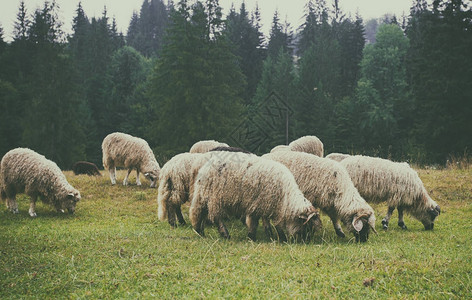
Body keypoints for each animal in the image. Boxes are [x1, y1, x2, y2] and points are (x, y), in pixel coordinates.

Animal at [188, 152, 320, 241]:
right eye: (308, 225)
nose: (307, 240)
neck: (285, 196)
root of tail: (205, 166)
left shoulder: (263, 204)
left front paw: (254, 236)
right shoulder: (262, 203)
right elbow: (266, 223)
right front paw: (280, 237)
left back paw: (203, 231)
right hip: (212, 196)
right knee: (207, 214)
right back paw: (214, 232)